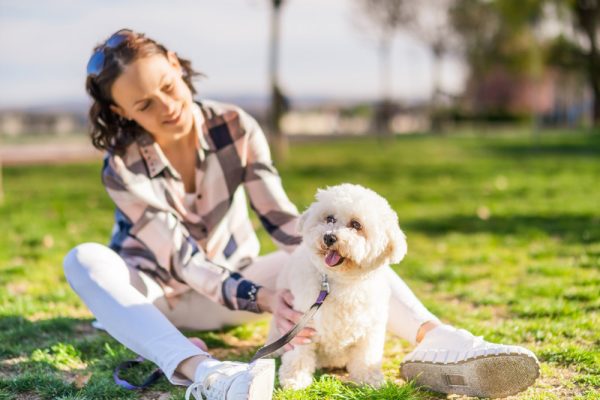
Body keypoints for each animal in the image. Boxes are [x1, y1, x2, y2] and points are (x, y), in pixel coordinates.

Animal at [270, 184, 408, 390]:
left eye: (356, 225)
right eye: (330, 219)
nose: (329, 237)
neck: (340, 282)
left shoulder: (371, 328)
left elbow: (367, 357)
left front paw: (369, 379)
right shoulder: (304, 324)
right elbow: (298, 355)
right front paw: (295, 379)